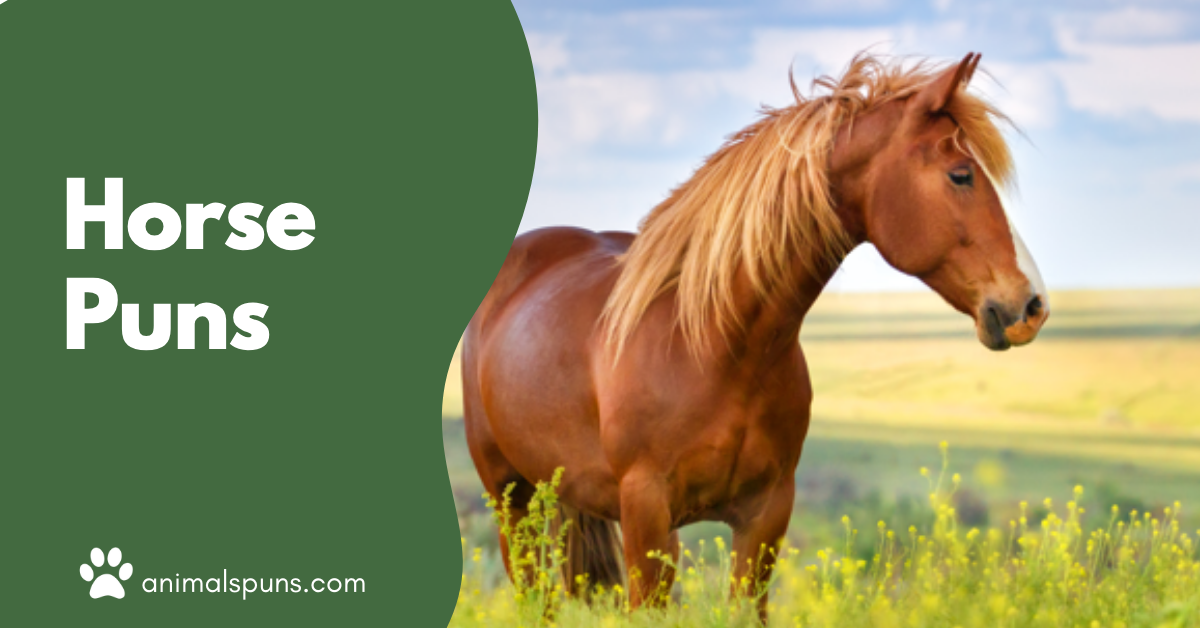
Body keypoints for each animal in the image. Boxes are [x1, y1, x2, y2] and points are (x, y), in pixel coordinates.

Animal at [460, 51, 1049, 621]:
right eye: (961, 175)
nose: (1032, 305)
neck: (716, 346)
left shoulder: (765, 516)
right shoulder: (647, 516)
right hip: (510, 500)